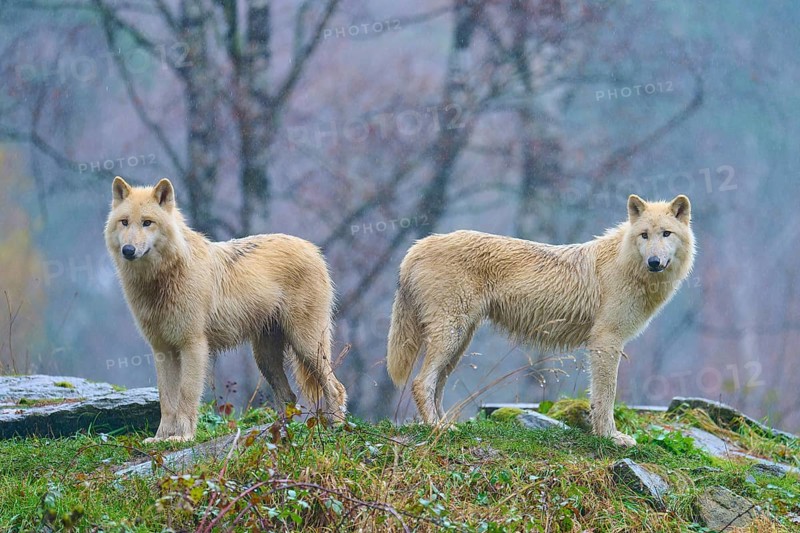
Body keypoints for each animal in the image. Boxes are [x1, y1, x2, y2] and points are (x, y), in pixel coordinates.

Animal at [105, 177, 347, 442]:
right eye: (124, 222)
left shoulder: (193, 346)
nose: (128, 250)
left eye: (147, 222)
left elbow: (187, 395)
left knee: (335, 387)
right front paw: (160, 438)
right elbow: (166, 400)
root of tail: (313, 249)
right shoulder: (162, 350)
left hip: (306, 346)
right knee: (289, 397)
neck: (162, 278)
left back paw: (336, 428)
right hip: (265, 358)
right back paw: (278, 435)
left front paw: (183, 437)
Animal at [386, 194, 695, 446]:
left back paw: (445, 425)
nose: (654, 262)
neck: (625, 264)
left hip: (459, 341)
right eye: (644, 235)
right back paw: (437, 428)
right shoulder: (606, 341)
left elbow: (598, 396)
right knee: (421, 383)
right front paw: (610, 437)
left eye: (666, 234)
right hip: (451, 335)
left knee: (436, 386)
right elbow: (605, 396)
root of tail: (416, 247)